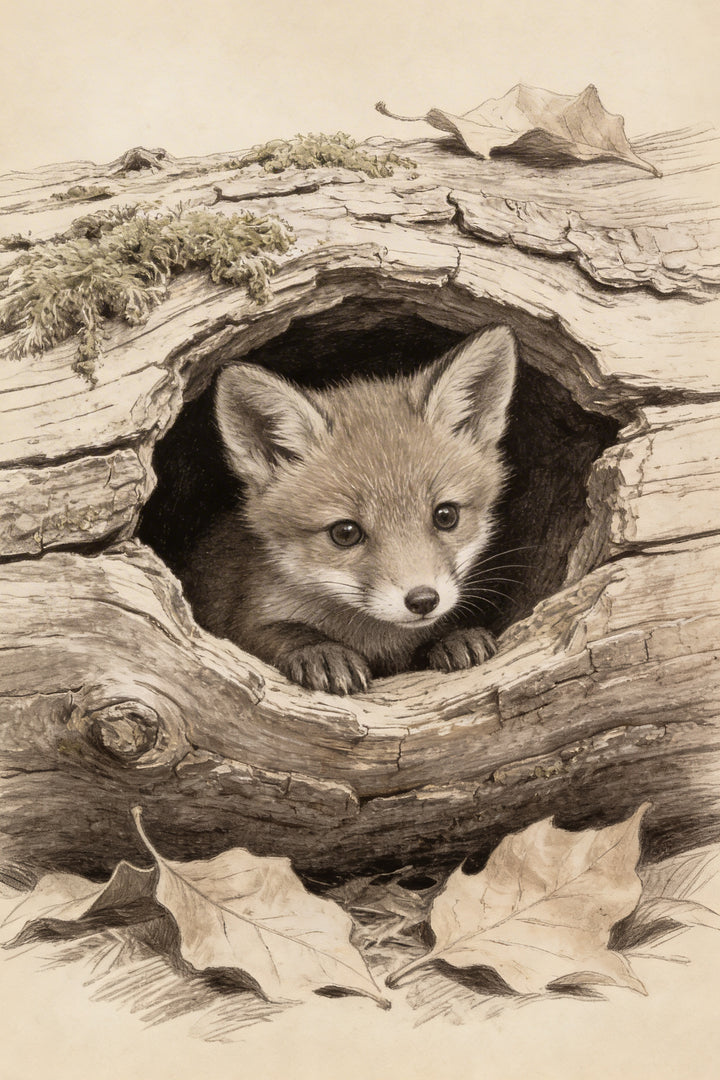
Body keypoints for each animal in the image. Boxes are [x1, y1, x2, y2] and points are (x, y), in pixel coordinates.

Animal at [184, 325, 517, 694]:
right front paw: (322, 651)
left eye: (446, 516)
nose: (423, 600)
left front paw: (452, 637)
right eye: (345, 533)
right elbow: (278, 631)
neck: (374, 637)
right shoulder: (246, 614)